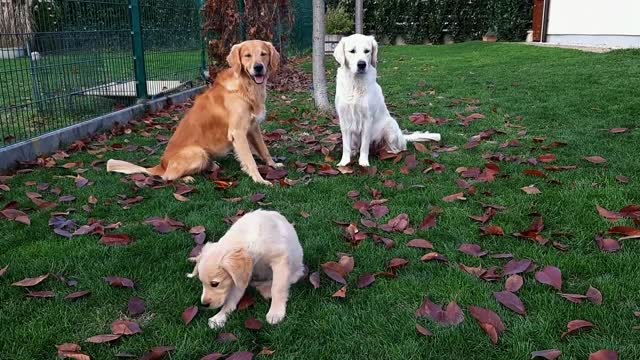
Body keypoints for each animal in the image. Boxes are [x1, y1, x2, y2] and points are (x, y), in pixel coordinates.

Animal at [106, 40, 282, 184]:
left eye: (263, 54)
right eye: (247, 55)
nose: (258, 67)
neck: (246, 87)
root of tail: (161, 165)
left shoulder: (253, 128)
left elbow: (264, 149)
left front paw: (273, 165)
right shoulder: (237, 132)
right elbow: (250, 160)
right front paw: (260, 180)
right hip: (198, 152)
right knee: (167, 177)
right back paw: (187, 178)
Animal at [330, 34, 440, 167]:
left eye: (367, 51)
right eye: (352, 51)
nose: (362, 64)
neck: (356, 83)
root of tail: (402, 135)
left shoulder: (367, 119)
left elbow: (364, 145)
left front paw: (363, 163)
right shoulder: (344, 119)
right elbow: (346, 145)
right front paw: (344, 162)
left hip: (390, 126)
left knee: (399, 149)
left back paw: (387, 152)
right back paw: (355, 151)